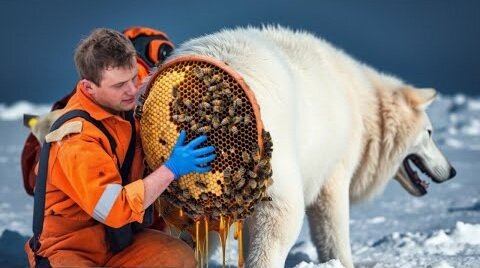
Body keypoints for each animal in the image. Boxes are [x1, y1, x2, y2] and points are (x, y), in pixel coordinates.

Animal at [170, 25, 458, 268]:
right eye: (430, 133)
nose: (453, 171)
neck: (363, 108)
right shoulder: (332, 179)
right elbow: (334, 238)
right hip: (277, 193)